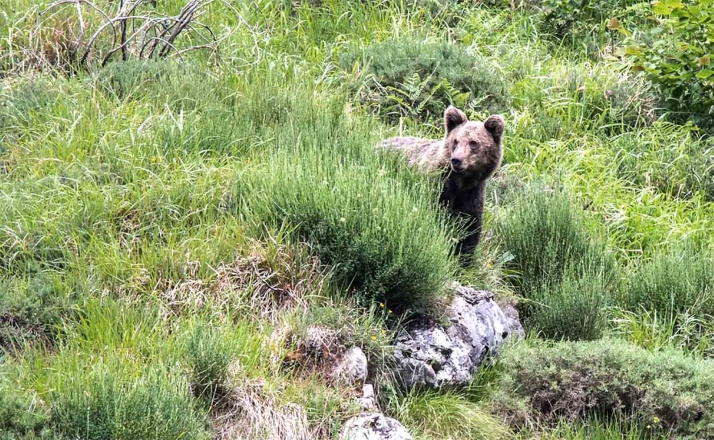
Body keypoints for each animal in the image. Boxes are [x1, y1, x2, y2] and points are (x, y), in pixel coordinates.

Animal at [378, 106, 505, 262]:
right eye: (455, 141)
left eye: (474, 142)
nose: (456, 160)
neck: (461, 182)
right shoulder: (438, 186)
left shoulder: (473, 193)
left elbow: (470, 226)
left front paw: (463, 257)